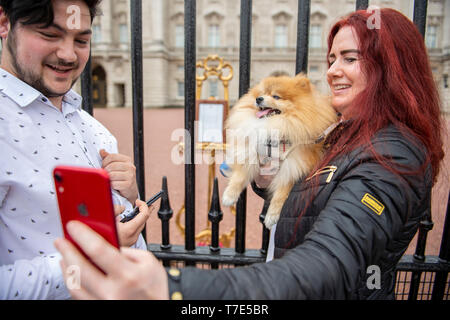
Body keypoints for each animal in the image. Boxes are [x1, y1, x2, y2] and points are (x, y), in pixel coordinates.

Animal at [221, 74, 338, 229]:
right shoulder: (252, 151)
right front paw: (229, 196)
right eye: (261, 94)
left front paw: (272, 215)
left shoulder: (293, 164)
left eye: (276, 96)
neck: (276, 125)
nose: (258, 99)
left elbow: (281, 192)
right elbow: (239, 176)